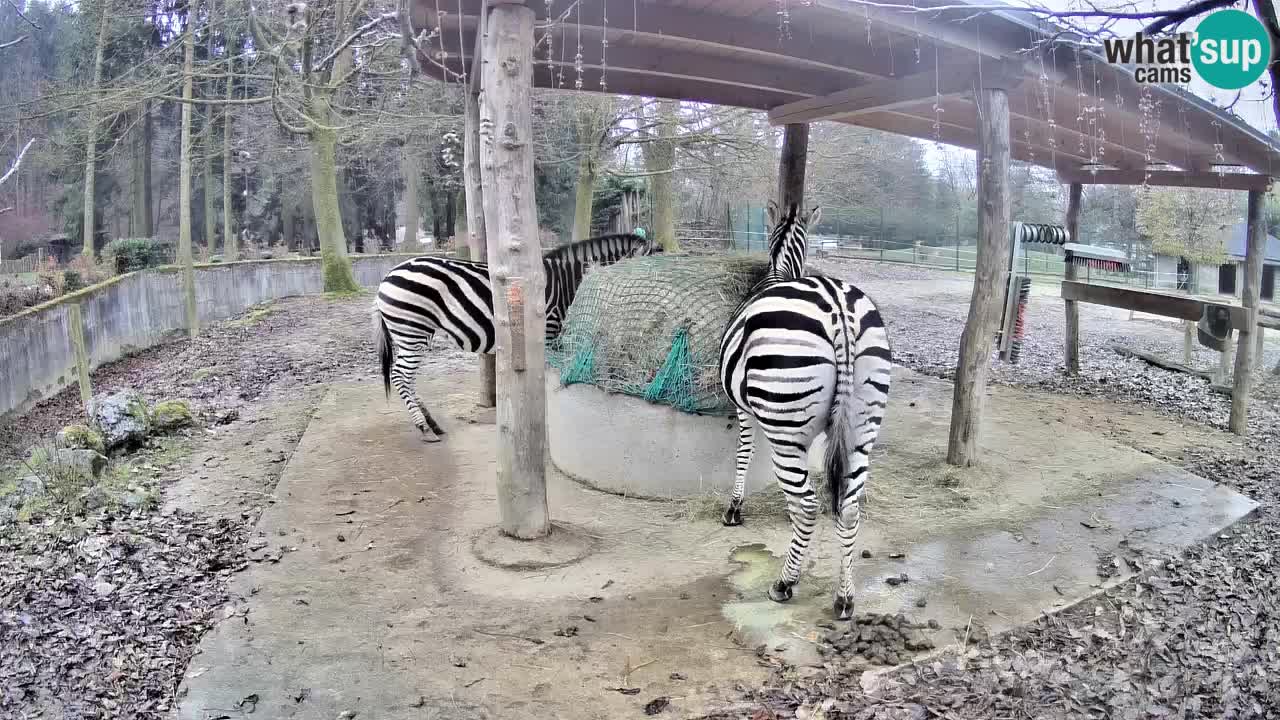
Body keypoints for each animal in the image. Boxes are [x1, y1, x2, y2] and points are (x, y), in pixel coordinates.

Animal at [373, 233, 660, 440]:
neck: (570, 282)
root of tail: (386, 277)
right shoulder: (550, 331)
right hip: (412, 330)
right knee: (400, 376)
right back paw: (423, 427)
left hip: (413, 334)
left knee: (406, 378)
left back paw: (431, 423)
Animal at [721, 199, 890, 617]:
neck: (779, 273)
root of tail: (839, 309)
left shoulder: (744, 409)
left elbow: (744, 453)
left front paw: (734, 508)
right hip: (863, 424)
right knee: (849, 505)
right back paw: (845, 596)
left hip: (786, 430)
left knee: (810, 504)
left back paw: (785, 582)